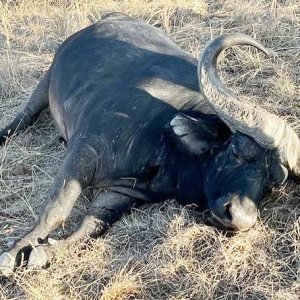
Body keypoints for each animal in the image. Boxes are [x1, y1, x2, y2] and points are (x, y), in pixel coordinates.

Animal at [0, 11, 300, 274]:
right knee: (24, 115)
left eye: (274, 181)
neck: (166, 154)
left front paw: (49, 251)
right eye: (238, 150)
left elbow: (94, 222)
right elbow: (56, 208)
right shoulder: (83, 152)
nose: (241, 218)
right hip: (45, 83)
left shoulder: (124, 193)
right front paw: (15, 251)